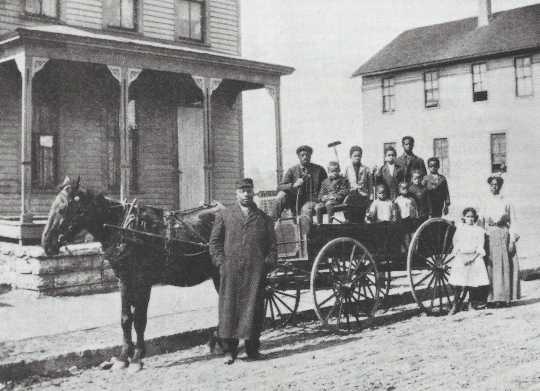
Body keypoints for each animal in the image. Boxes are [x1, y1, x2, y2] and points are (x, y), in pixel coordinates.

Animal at [39, 182, 221, 372]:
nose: (46, 243)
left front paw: (137, 357)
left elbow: (139, 319)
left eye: (62, 209)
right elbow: (126, 319)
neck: (125, 229)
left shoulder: (143, 282)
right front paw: (123, 357)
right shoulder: (125, 280)